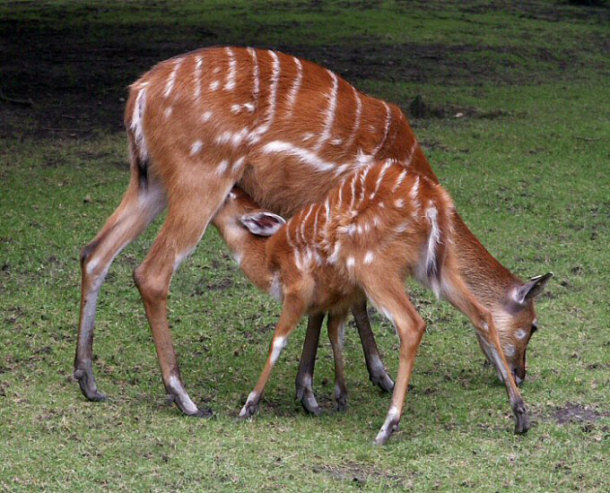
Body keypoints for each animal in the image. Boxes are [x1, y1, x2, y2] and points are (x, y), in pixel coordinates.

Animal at [76, 47, 552, 418]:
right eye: (531, 326)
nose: (521, 373)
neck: (408, 161)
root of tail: (137, 96)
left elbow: (333, 299)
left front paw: (331, 383)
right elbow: (343, 301)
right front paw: (335, 386)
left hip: (149, 180)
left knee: (94, 252)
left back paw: (88, 380)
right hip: (201, 178)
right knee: (151, 273)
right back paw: (184, 397)